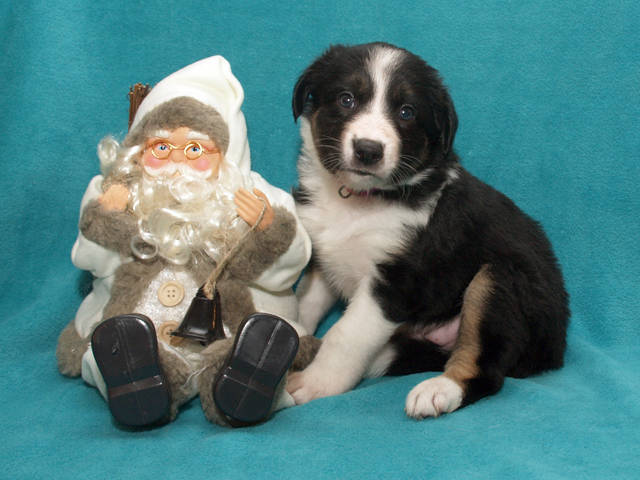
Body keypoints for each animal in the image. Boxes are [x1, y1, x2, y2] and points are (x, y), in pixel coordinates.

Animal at [286, 42, 569, 419]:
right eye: (347, 99)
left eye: (406, 112)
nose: (368, 150)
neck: (359, 201)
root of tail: (556, 350)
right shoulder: (324, 256)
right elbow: (306, 302)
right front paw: (293, 331)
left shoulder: (395, 281)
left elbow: (345, 335)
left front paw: (315, 383)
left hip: (500, 279)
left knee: (486, 369)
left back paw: (439, 390)